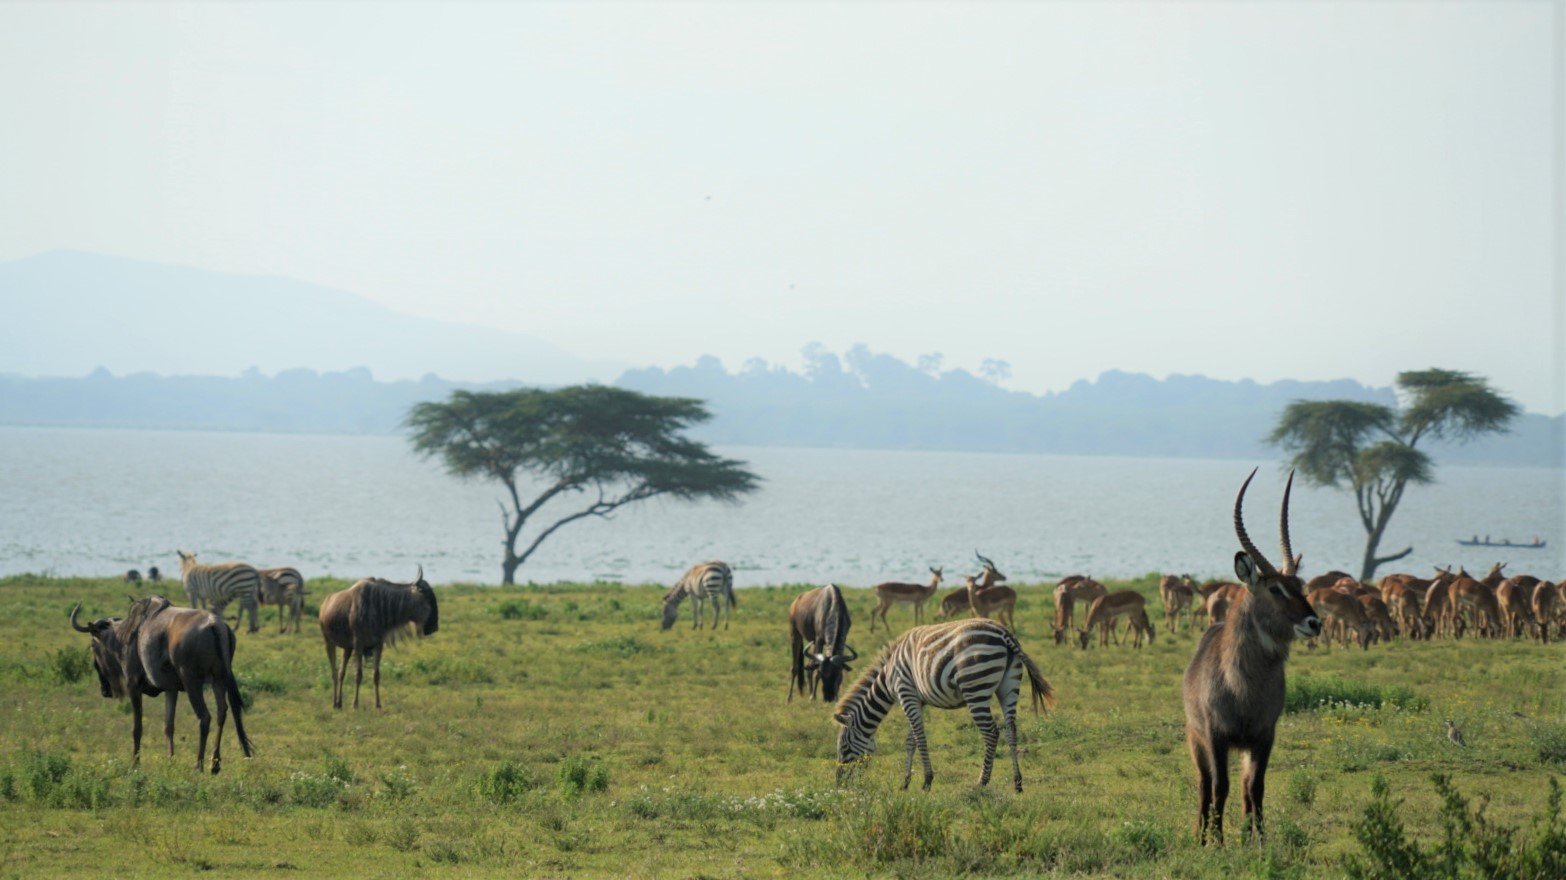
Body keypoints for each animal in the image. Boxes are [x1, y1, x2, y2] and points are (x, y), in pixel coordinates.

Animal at [71, 591, 252, 770]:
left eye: (93, 645)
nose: (105, 690)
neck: (126, 635)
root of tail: (215, 625)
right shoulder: (171, 689)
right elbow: (168, 726)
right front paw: (170, 761)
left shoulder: (133, 687)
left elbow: (137, 728)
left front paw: (135, 764)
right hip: (219, 680)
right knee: (222, 711)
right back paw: (214, 764)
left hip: (192, 683)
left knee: (205, 717)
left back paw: (198, 766)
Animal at [317, 569, 438, 704]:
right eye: (426, 596)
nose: (434, 627)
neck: (380, 605)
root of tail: (324, 605)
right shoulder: (359, 644)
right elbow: (358, 674)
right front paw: (355, 704)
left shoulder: (378, 645)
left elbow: (376, 675)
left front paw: (378, 704)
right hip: (329, 643)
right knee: (334, 672)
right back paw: (334, 702)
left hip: (347, 648)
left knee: (341, 673)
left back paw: (339, 702)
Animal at [833, 613, 1052, 792]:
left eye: (843, 747)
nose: (839, 783)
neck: (888, 676)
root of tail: (1004, 633)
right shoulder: (917, 700)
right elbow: (910, 740)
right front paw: (905, 782)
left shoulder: (906, 694)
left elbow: (919, 738)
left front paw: (927, 781)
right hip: (1009, 685)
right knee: (1011, 729)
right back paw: (1017, 783)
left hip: (975, 687)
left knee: (991, 732)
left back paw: (981, 782)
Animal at [1183, 466, 1321, 845]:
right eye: (1275, 588)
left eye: (1301, 586)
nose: (1314, 622)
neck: (1243, 686)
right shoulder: (1215, 735)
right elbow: (1220, 787)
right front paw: (1217, 842)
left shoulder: (1263, 735)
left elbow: (1254, 787)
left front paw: (1257, 840)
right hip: (1195, 739)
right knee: (1204, 785)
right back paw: (1200, 836)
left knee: (1243, 787)